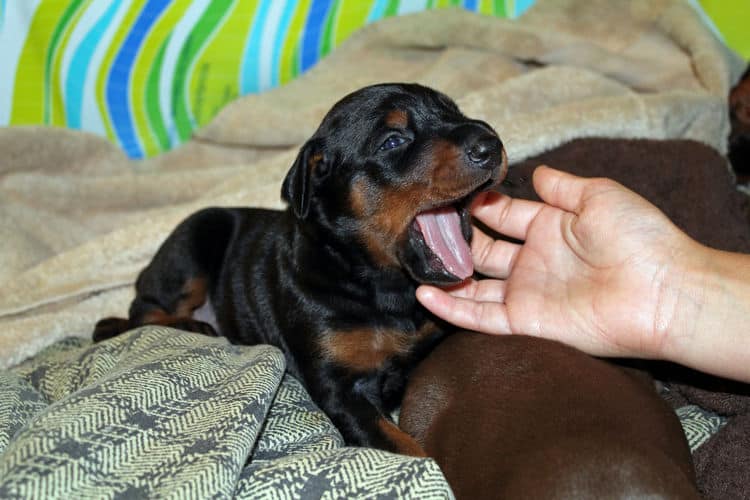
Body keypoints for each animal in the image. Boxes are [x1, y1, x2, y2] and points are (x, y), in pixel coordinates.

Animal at [92, 83, 506, 458]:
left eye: (456, 112)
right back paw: (189, 325)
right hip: (195, 238)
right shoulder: (341, 389)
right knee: (140, 312)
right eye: (392, 141)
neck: (383, 284)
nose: (490, 144)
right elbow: (405, 448)